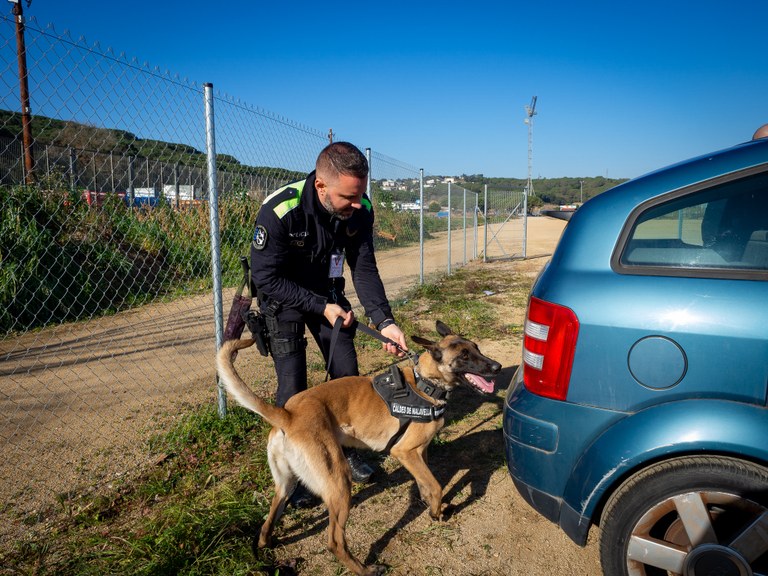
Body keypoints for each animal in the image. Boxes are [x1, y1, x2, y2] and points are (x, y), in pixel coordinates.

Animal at [216, 320, 504, 576]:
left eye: (476, 348)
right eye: (464, 356)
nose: (497, 366)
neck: (425, 384)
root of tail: (287, 414)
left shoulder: (420, 452)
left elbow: (426, 485)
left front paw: (434, 507)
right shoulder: (405, 452)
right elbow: (435, 485)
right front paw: (436, 512)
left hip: (286, 483)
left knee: (268, 522)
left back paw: (267, 545)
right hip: (339, 483)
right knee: (334, 541)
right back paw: (365, 570)